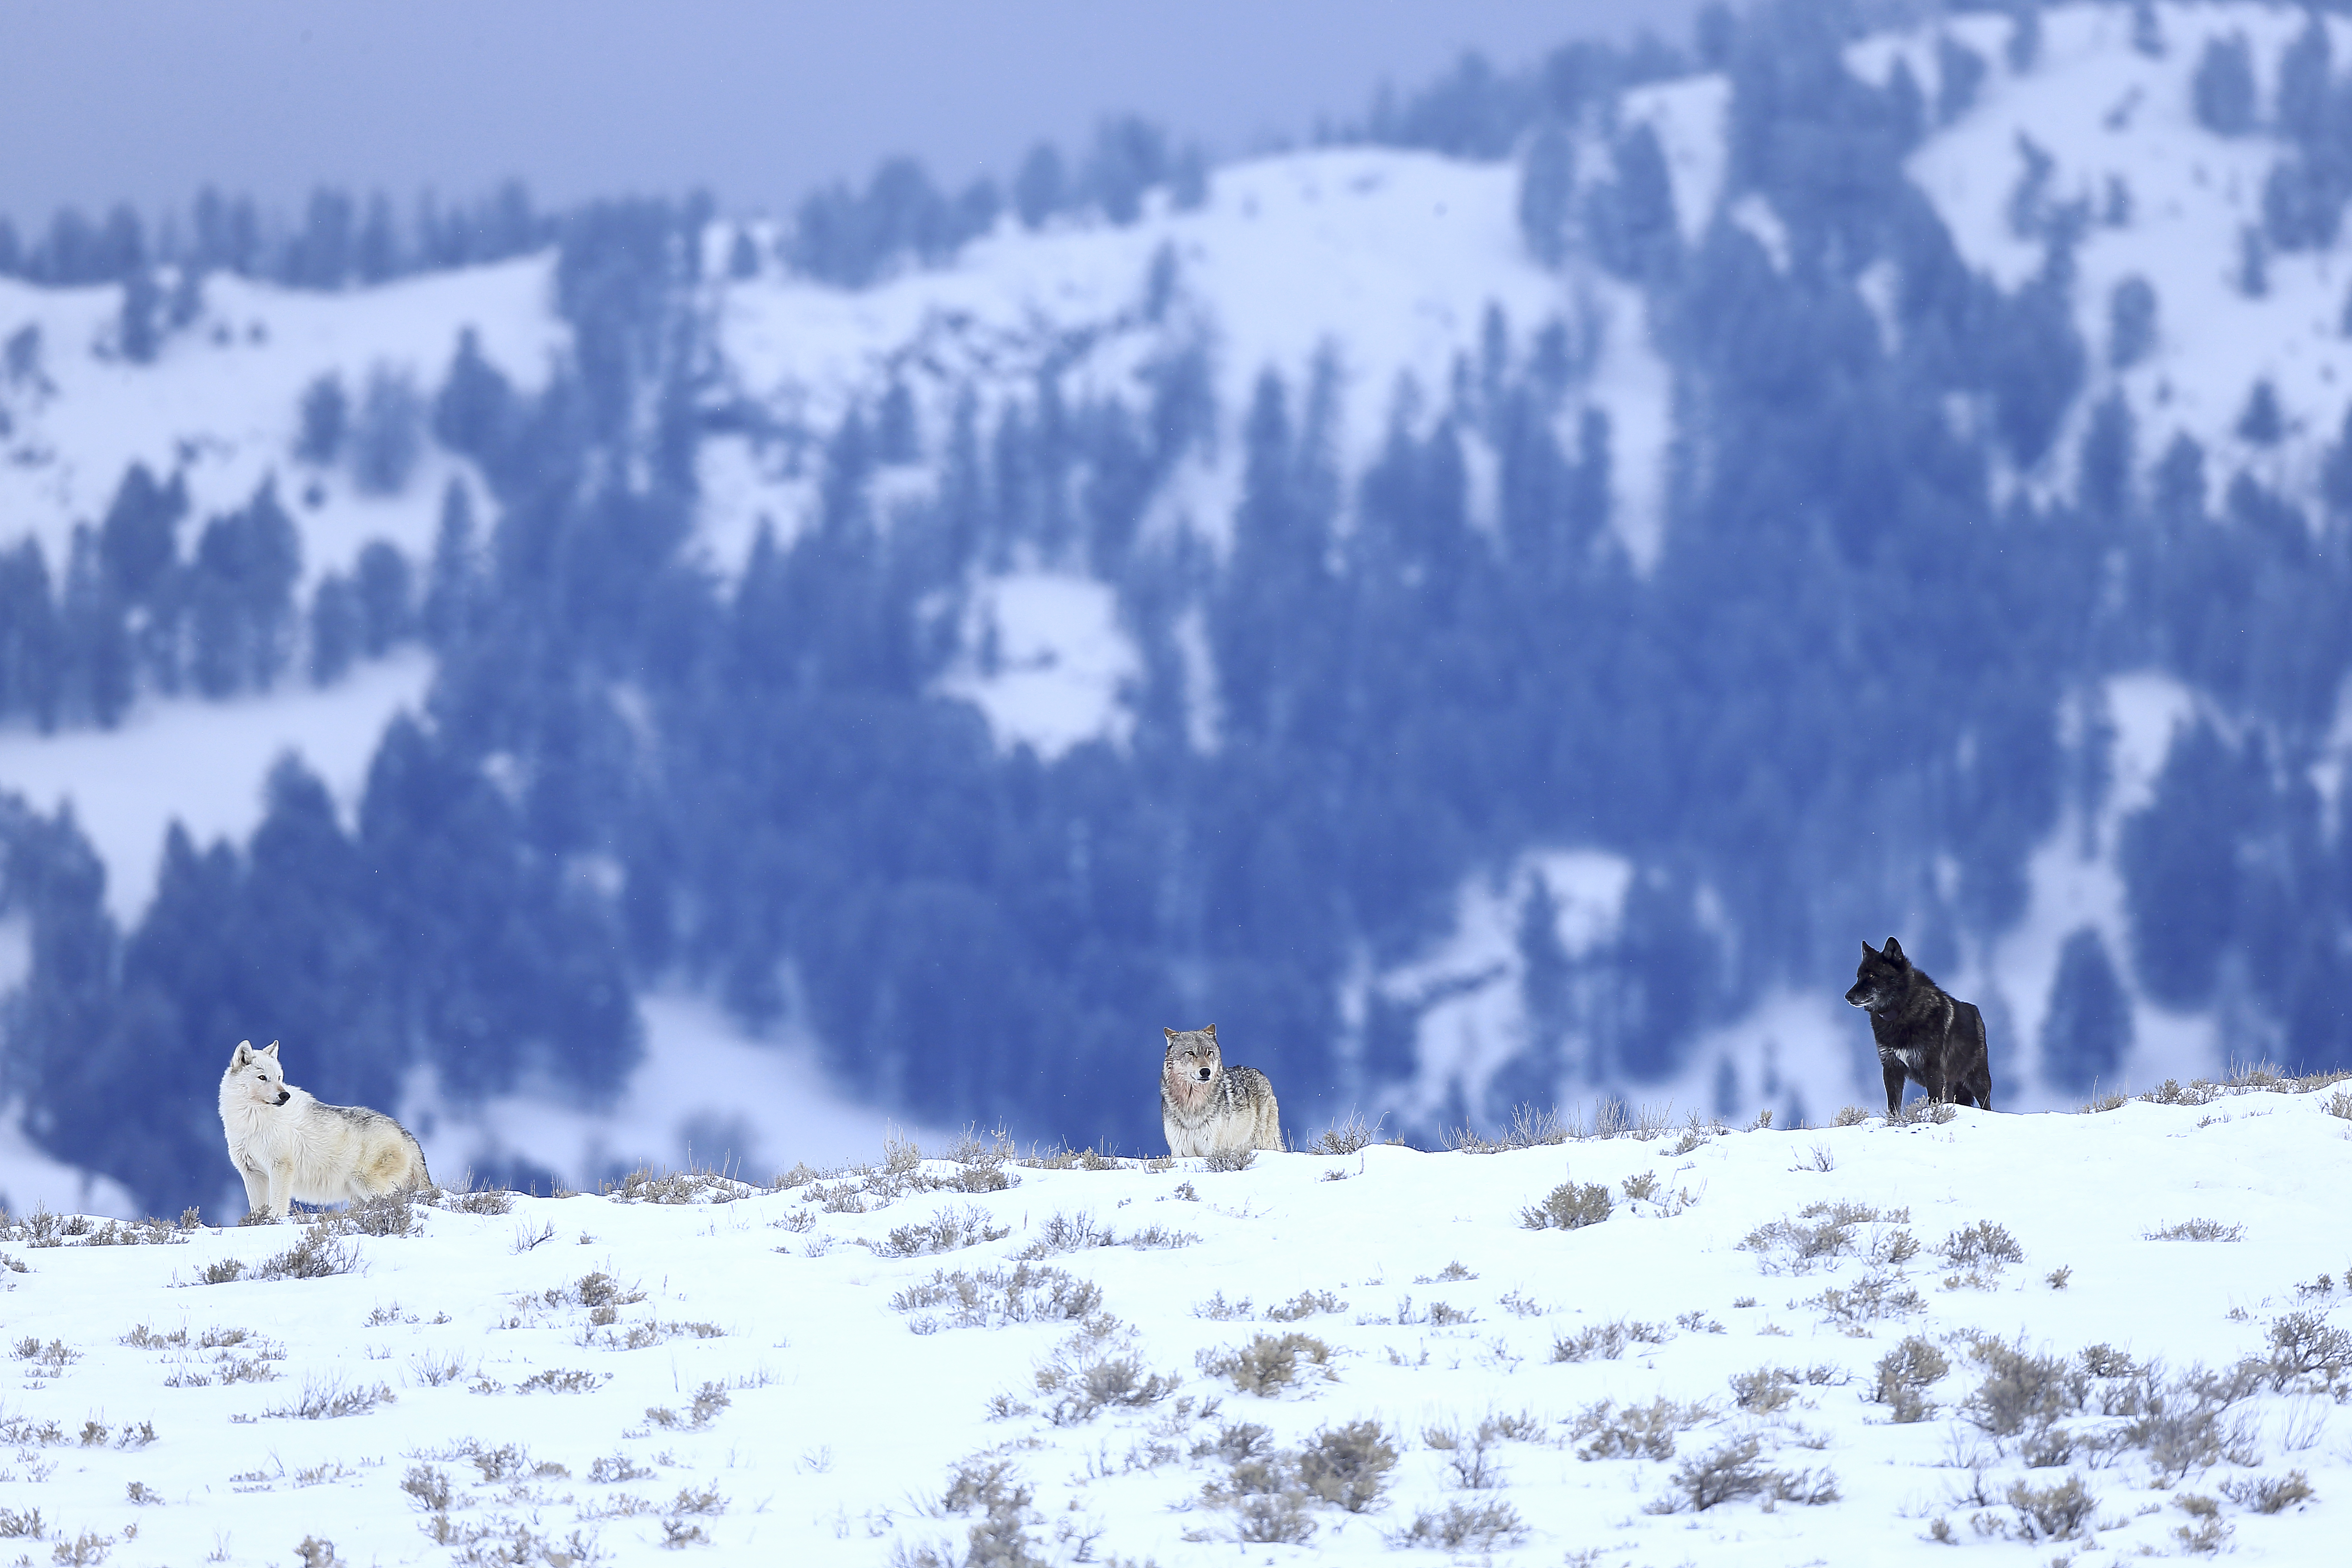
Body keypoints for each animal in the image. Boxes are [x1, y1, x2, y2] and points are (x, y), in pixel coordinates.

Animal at [218, 1040, 431, 1220]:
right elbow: (257, 1210)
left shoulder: (281, 1168)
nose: (285, 1096)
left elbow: (277, 1207)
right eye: (262, 1078)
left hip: (367, 1185)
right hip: (358, 1195)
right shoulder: (252, 1173)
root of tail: (407, 1135)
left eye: (279, 1078)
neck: (252, 1121)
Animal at [1161, 1025, 1283, 1157]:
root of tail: (1261, 1075)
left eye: (1209, 1052)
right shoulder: (1180, 1151)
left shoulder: (1211, 1148)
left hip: (1262, 1142)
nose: (1205, 1072)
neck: (1192, 1105)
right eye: (1190, 1053)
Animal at [1845, 938, 1994, 1115]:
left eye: (1871, 975)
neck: (1900, 1011)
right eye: (1859, 976)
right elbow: (1894, 1106)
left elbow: (1934, 1101)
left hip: (1979, 1081)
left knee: (1987, 1106)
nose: (1848, 996)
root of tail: (1976, 1013)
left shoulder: (1933, 1070)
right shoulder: (1891, 1068)